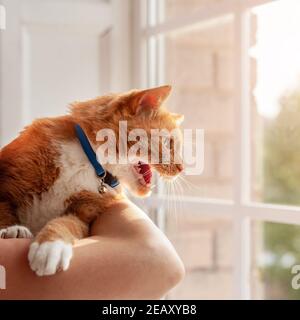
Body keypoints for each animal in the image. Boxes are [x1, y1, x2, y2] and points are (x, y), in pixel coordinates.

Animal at [0, 85, 183, 276]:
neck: (89, 163)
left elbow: (65, 224)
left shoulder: (82, 214)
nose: (181, 168)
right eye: (169, 143)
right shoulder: (6, 187)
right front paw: (14, 230)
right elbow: (4, 212)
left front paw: (50, 247)